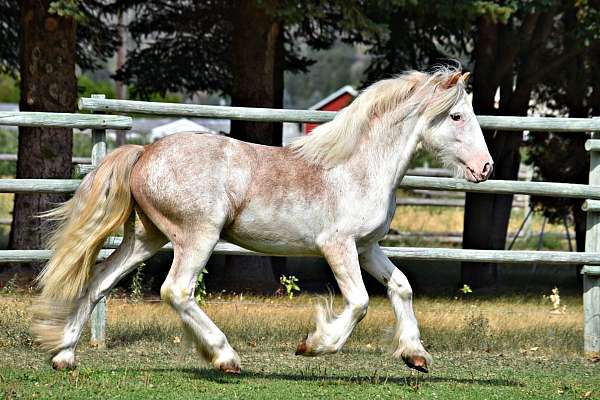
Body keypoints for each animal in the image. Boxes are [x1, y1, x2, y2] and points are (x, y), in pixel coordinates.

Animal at [31, 68, 492, 376]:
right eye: (456, 117)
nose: (484, 167)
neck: (357, 167)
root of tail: (144, 152)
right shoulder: (337, 245)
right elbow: (360, 302)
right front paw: (313, 346)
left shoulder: (366, 247)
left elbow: (402, 286)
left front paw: (416, 355)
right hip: (197, 237)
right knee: (176, 290)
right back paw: (226, 358)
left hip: (147, 238)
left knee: (97, 283)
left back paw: (64, 356)